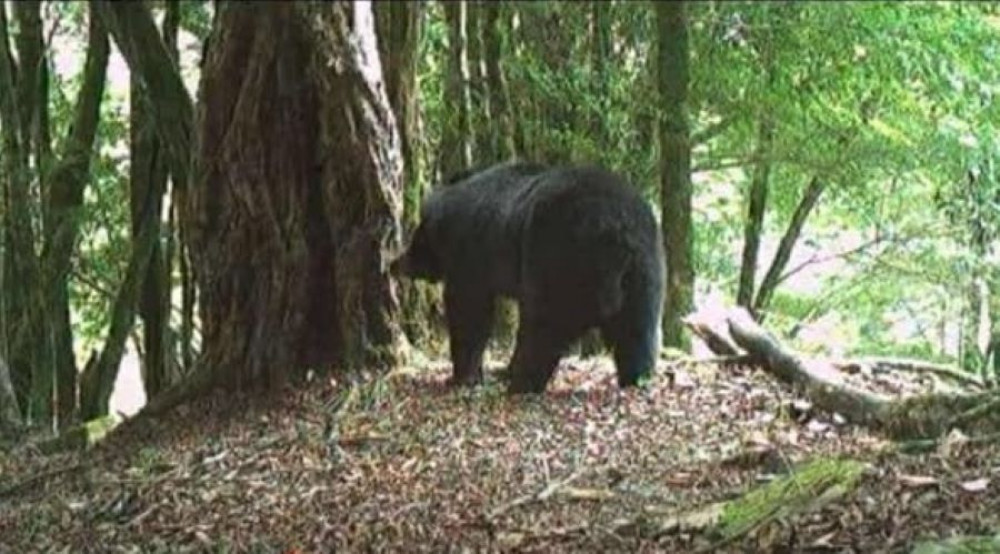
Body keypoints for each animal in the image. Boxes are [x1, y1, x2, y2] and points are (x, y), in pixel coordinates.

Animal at [390, 161, 664, 392]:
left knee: (544, 326)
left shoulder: (471, 257)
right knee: (637, 330)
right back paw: (636, 377)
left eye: (415, 238)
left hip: (557, 255)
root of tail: (614, 232)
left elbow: (469, 312)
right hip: (643, 269)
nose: (395, 262)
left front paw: (461, 375)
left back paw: (520, 382)